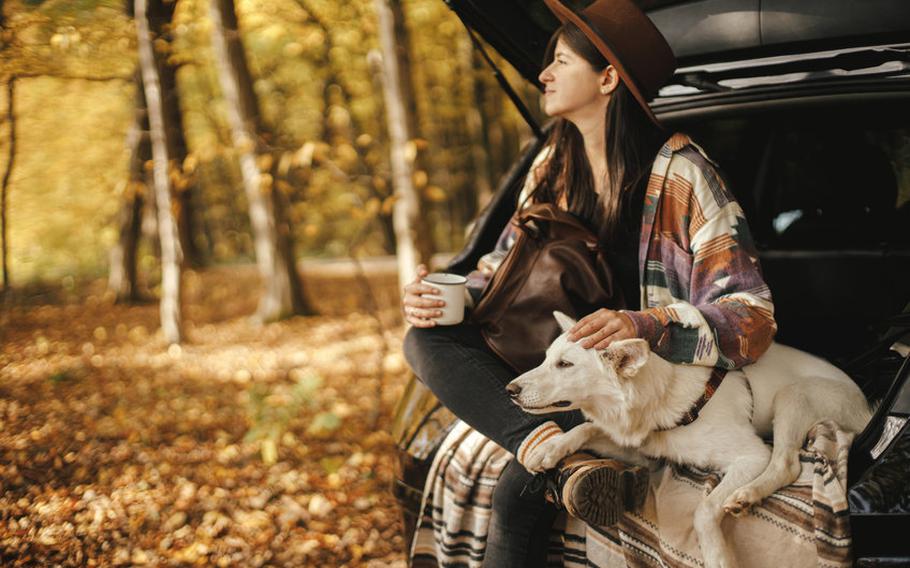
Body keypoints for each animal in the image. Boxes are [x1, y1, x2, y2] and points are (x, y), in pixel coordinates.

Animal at [510, 310, 872, 568]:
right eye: (546, 358)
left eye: (565, 364)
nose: (510, 390)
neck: (663, 397)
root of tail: (868, 409)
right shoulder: (644, 450)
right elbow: (587, 429)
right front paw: (550, 448)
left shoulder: (751, 456)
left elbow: (704, 509)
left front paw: (717, 556)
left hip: (793, 396)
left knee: (787, 464)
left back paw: (747, 494)